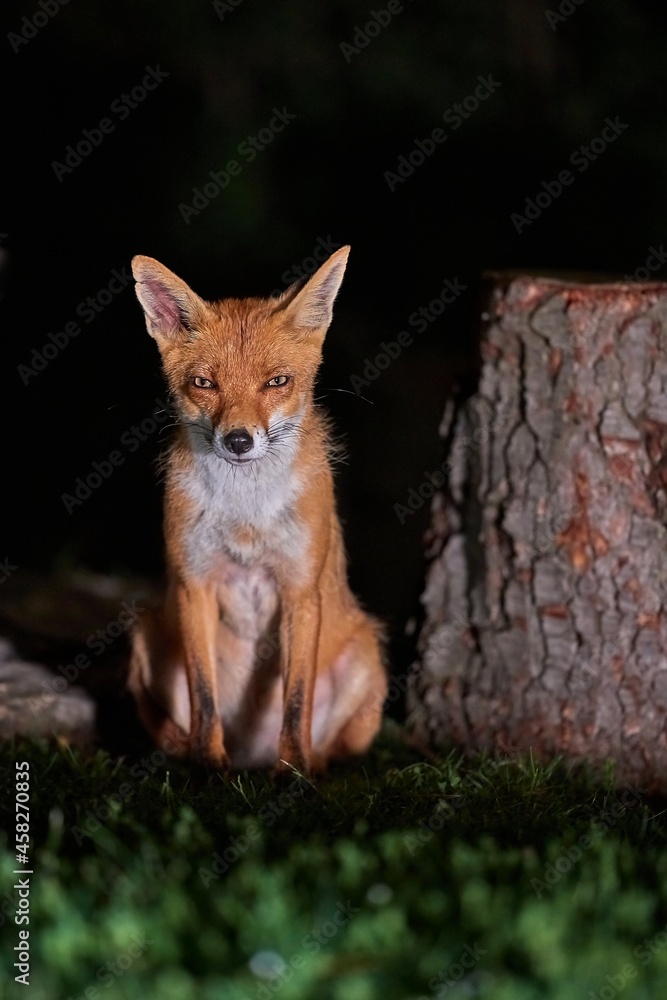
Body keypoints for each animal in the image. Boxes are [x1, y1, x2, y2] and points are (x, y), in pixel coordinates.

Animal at [127, 245, 387, 774]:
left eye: (277, 382)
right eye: (204, 383)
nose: (239, 441)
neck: (245, 517)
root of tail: (253, 752)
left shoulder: (300, 590)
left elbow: (296, 701)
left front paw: (294, 776)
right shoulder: (195, 584)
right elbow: (204, 699)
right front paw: (208, 771)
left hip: (367, 654)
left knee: (333, 745)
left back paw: (309, 767)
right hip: (144, 638)